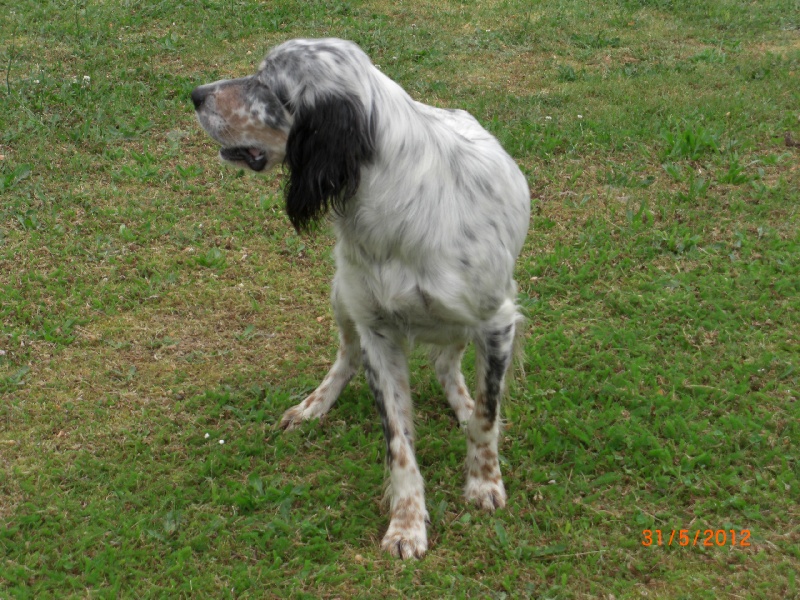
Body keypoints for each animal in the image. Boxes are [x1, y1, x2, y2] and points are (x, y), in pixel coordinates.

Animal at [191, 39, 532, 560]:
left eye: (268, 84)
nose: (195, 95)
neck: (396, 201)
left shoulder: (497, 322)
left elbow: (487, 417)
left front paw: (482, 483)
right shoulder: (377, 332)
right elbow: (399, 444)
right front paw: (406, 524)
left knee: (448, 367)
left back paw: (462, 404)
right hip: (342, 295)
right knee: (347, 358)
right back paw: (314, 405)